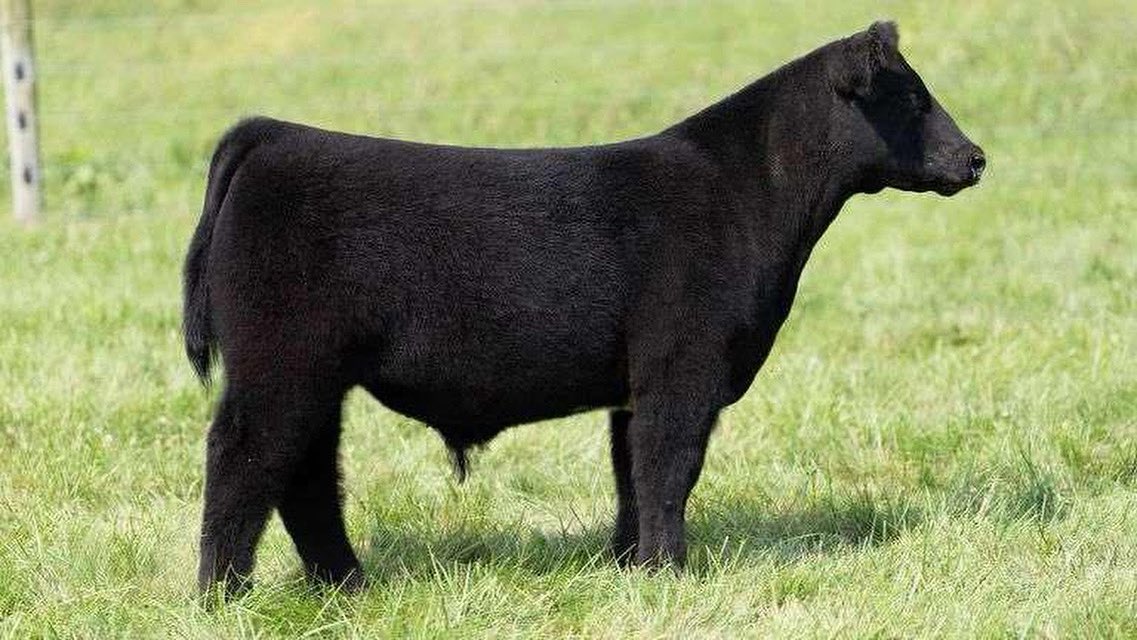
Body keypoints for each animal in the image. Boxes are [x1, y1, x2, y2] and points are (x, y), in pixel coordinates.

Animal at [184, 21, 985, 596]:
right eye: (913, 100)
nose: (976, 158)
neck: (747, 193)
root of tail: (273, 133)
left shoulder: (636, 385)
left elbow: (631, 473)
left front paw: (631, 568)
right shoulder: (683, 370)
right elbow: (668, 468)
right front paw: (670, 573)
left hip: (315, 380)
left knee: (306, 474)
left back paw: (345, 587)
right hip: (279, 368)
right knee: (244, 459)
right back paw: (225, 596)